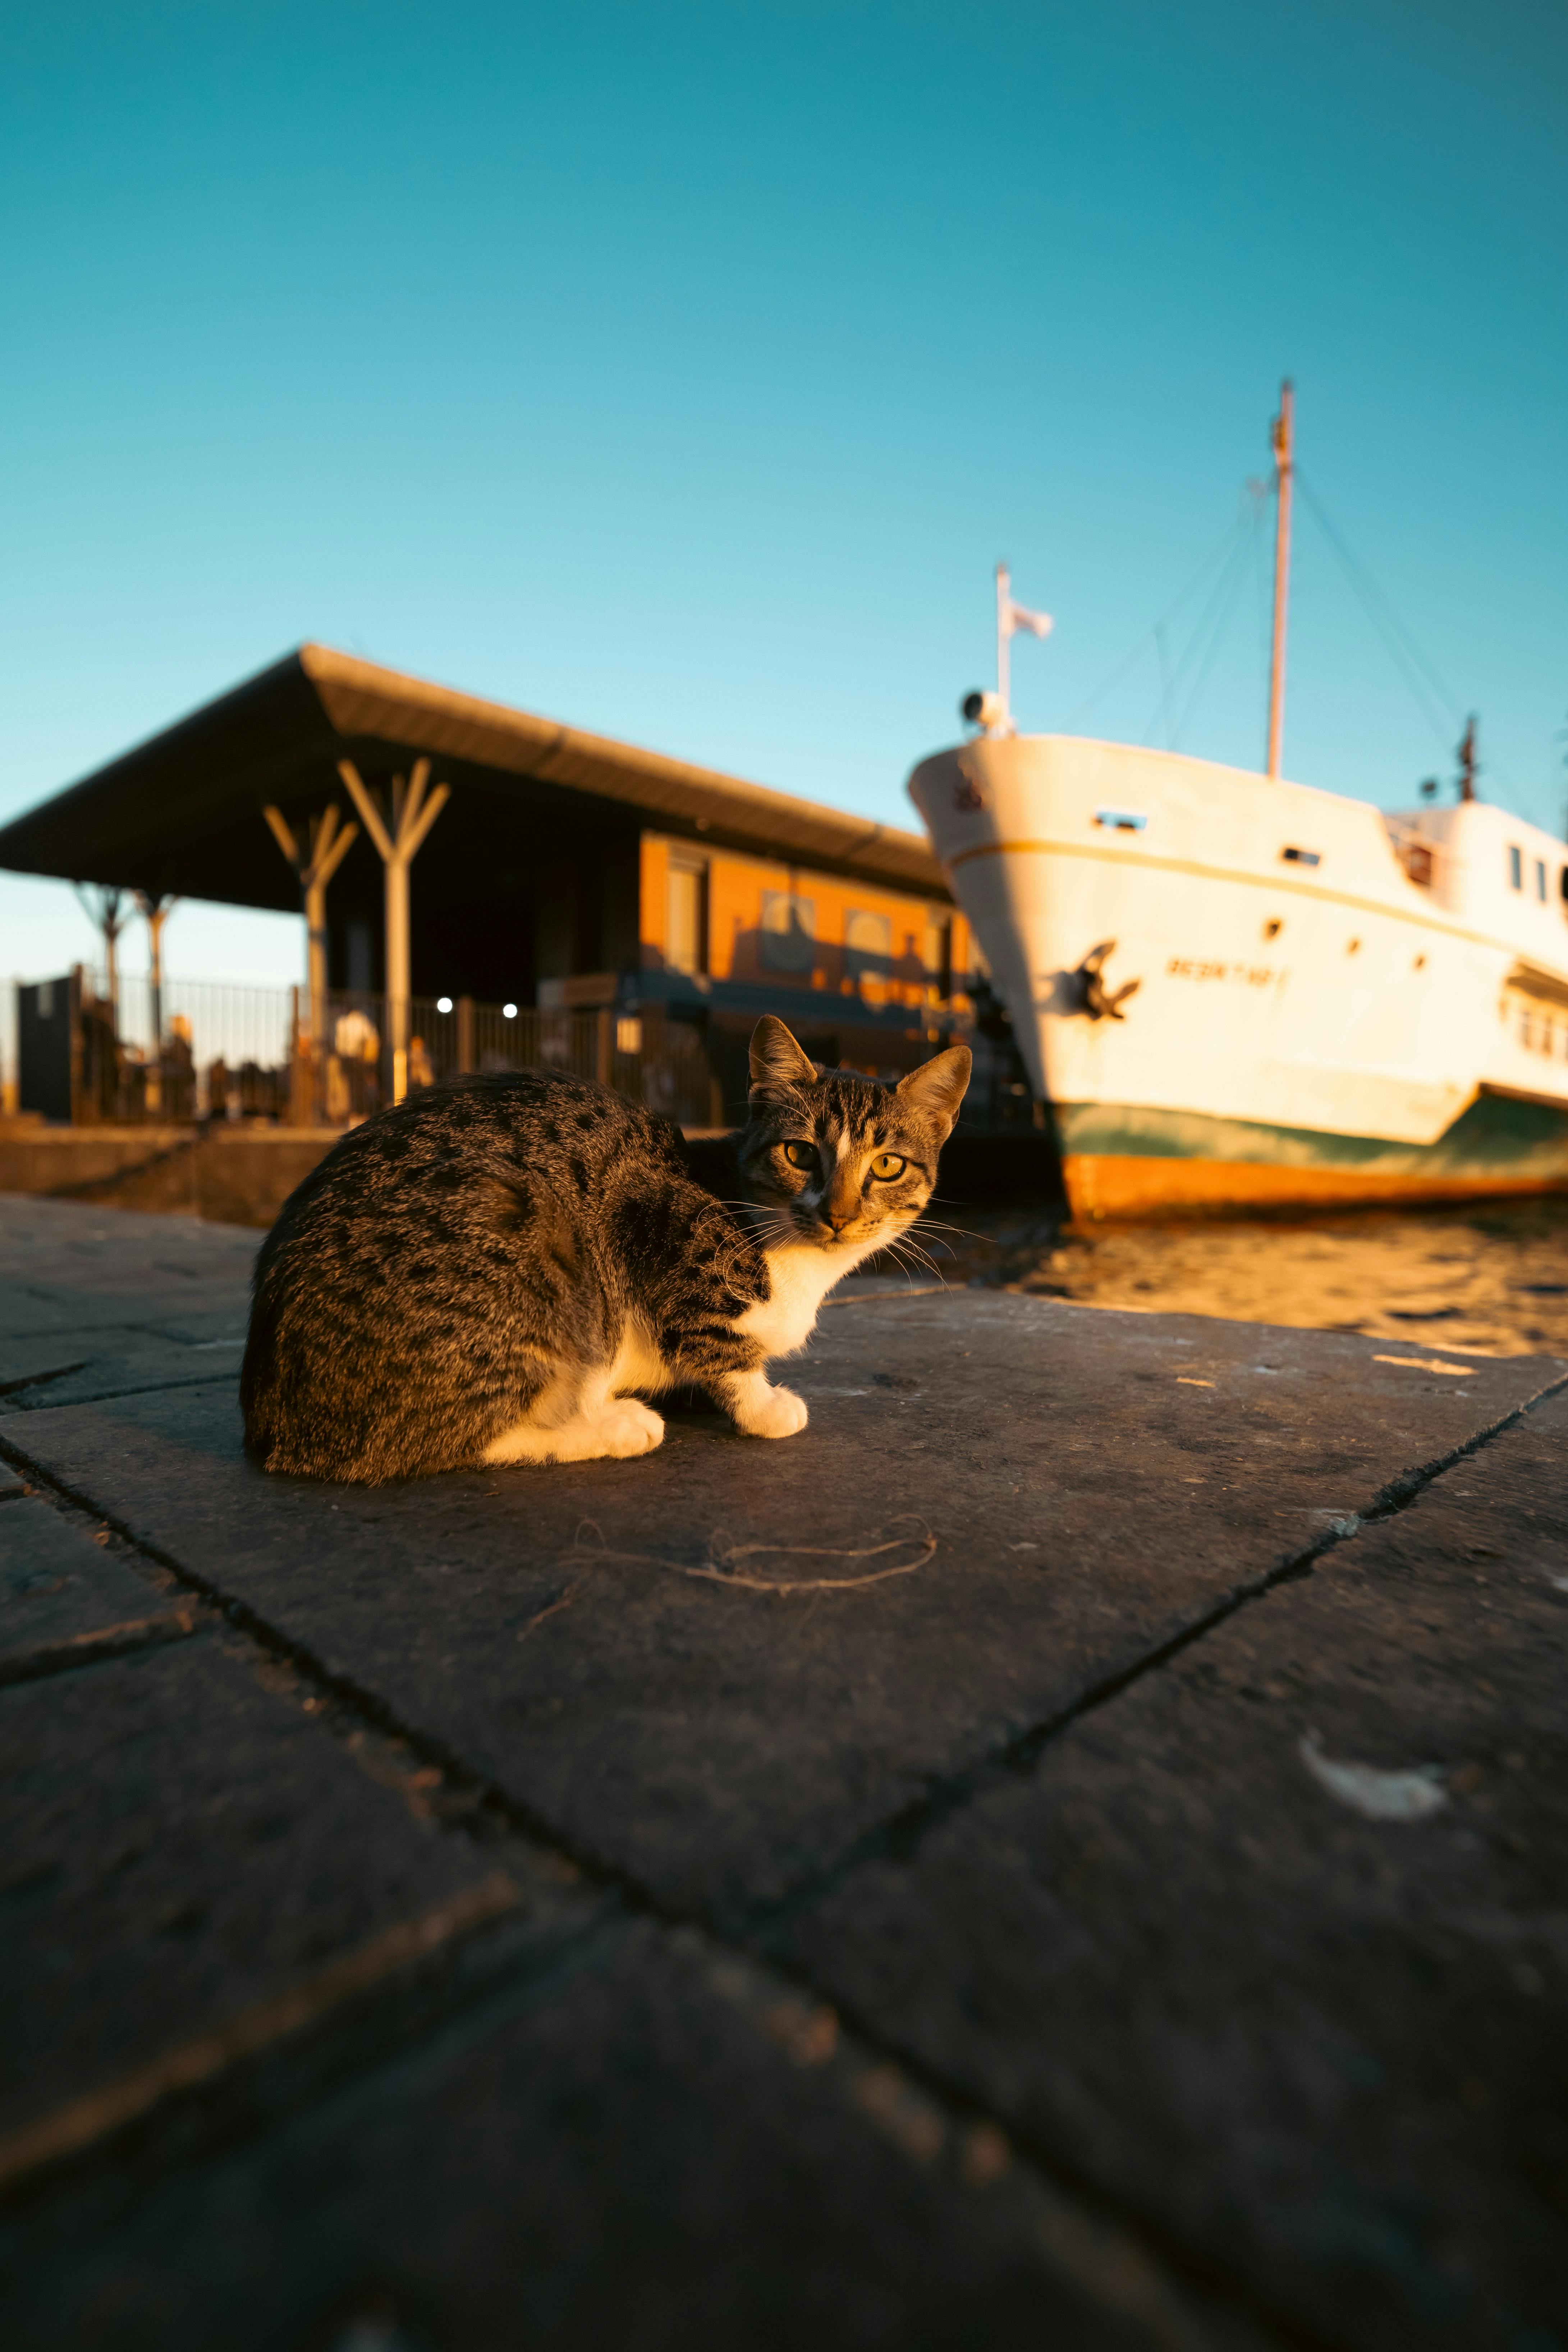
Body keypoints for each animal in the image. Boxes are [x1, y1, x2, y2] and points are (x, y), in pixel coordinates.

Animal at [237, 1016, 968, 1486]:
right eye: (799, 1153)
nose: (839, 1214)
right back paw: (617, 1426)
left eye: (887, 1165)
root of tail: (275, 1427)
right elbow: (718, 1348)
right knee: (442, 1439)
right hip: (537, 1260)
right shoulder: (658, 1224)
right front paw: (763, 1405)